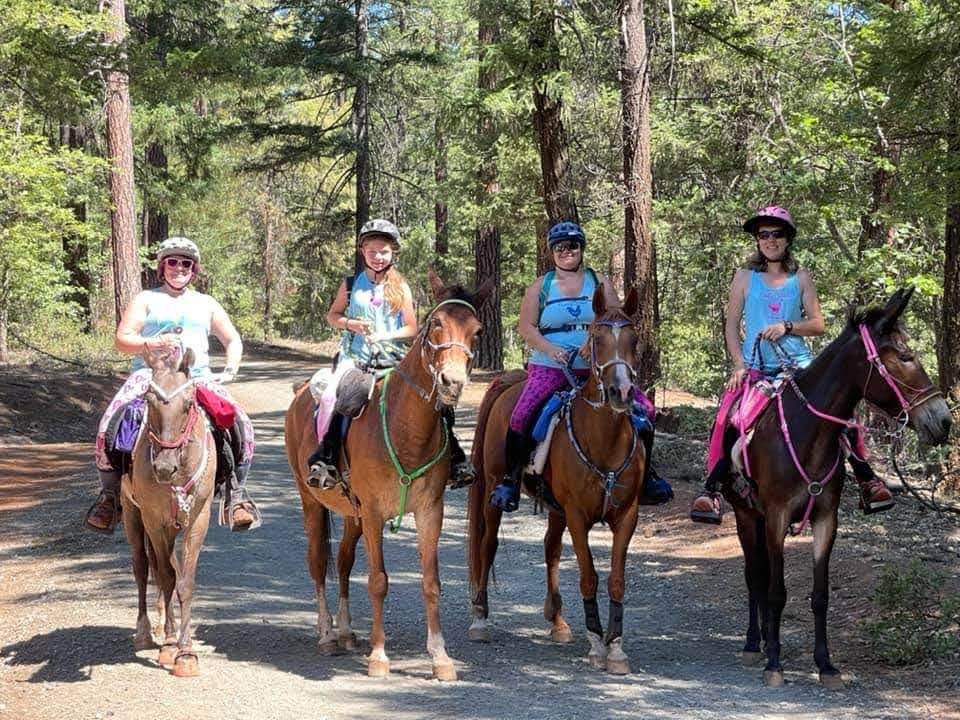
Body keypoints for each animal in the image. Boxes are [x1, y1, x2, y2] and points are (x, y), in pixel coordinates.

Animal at [120, 347, 217, 677]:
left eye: (188, 404)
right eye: (149, 401)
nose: (164, 468)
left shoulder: (197, 518)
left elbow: (184, 581)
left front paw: (186, 653)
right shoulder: (154, 520)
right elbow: (164, 577)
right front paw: (171, 646)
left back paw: (163, 624)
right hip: (132, 514)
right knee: (141, 567)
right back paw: (146, 631)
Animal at [284, 270, 492, 680]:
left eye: (476, 330)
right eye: (435, 323)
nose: (451, 382)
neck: (405, 428)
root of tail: (301, 393)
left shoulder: (429, 512)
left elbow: (431, 583)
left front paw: (440, 657)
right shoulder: (375, 514)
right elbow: (378, 581)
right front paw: (379, 656)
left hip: (353, 515)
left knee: (343, 561)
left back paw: (347, 632)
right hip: (311, 500)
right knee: (318, 562)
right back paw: (327, 635)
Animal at [467, 285, 647, 674]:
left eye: (633, 339)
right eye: (596, 338)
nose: (622, 393)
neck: (604, 440)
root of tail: (512, 380)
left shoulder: (627, 515)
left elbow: (617, 581)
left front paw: (616, 648)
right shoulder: (578, 516)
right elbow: (589, 575)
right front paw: (596, 643)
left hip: (555, 507)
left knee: (550, 548)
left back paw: (558, 621)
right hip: (493, 489)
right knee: (488, 545)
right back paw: (480, 619)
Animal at [718, 287, 952, 688]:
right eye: (906, 356)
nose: (944, 421)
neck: (807, 432)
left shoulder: (826, 519)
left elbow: (820, 595)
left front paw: (825, 664)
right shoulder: (777, 517)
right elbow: (776, 591)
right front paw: (775, 664)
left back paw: (765, 640)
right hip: (746, 514)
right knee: (755, 577)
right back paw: (753, 644)